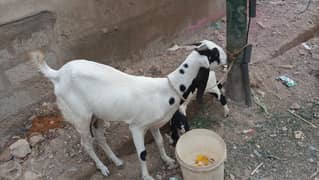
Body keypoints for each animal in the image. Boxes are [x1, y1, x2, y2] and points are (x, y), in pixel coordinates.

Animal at [30, 40, 225, 179]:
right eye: (214, 53)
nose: (225, 58)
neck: (166, 90)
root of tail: (58, 74)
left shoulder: (154, 124)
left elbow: (159, 142)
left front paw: (168, 161)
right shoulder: (137, 127)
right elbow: (142, 153)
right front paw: (147, 177)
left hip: (98, 114)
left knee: (99, 137)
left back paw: (116, 161)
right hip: (80, 116)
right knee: (86, 143)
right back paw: (103, 168)